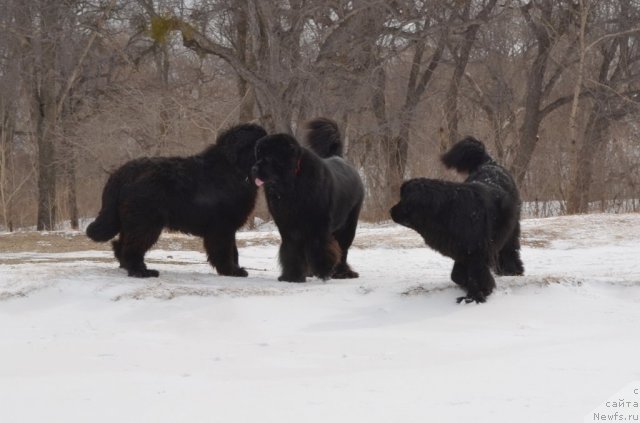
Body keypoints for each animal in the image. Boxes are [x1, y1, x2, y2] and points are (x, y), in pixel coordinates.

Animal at [86, 124, 266, 280]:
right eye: (259, 144)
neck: (234, 170)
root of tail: (123, 172)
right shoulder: (222, 227)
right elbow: (225, 251)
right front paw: (231, 270)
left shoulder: (227, 227)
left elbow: (234, 250)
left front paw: (236, 269)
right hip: (145, 222)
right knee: (132, 247)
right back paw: (141, 271)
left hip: (132, 222)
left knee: (121, 244)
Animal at [252, 117, 368, 284]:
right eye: (258, 156)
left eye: (268, 157)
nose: (254, 169)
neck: (292, 184)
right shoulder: (288, 227)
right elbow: (291, 250)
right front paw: (292, 276)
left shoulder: (317, 225)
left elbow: (320, 247)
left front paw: (323, 271)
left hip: (348, 225)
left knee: (343, 249)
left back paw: (342, 272)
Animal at [390, 137, 524, 304]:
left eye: (403, 200)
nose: (390, 211)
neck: (447, 212)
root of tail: (490, 163)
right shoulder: (462, 250)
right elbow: (457, 275)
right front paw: (472, 287)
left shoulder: (476, 252)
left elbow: (475, 276)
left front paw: (475, 296)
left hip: (511, 226)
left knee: (510, 247)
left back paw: (512, 270)